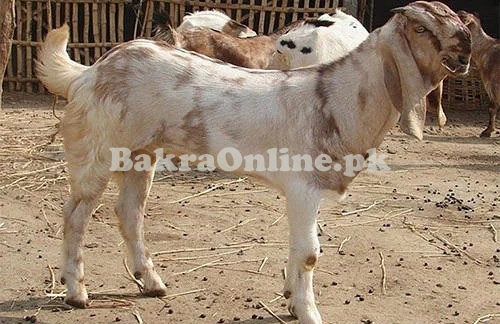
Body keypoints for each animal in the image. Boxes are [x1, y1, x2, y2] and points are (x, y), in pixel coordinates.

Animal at [37, 1, 470, 322]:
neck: (336, 99)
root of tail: (89, 72)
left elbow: (299, 249)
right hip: (96, 151)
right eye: (420, 29)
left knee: (129, 212)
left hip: (140, 154)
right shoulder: (303, 188)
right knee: (75, 215)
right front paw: (309, 312)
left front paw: (292, 300)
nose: (465, 47)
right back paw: (77, 293)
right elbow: (310, 253)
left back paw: (152, 283)